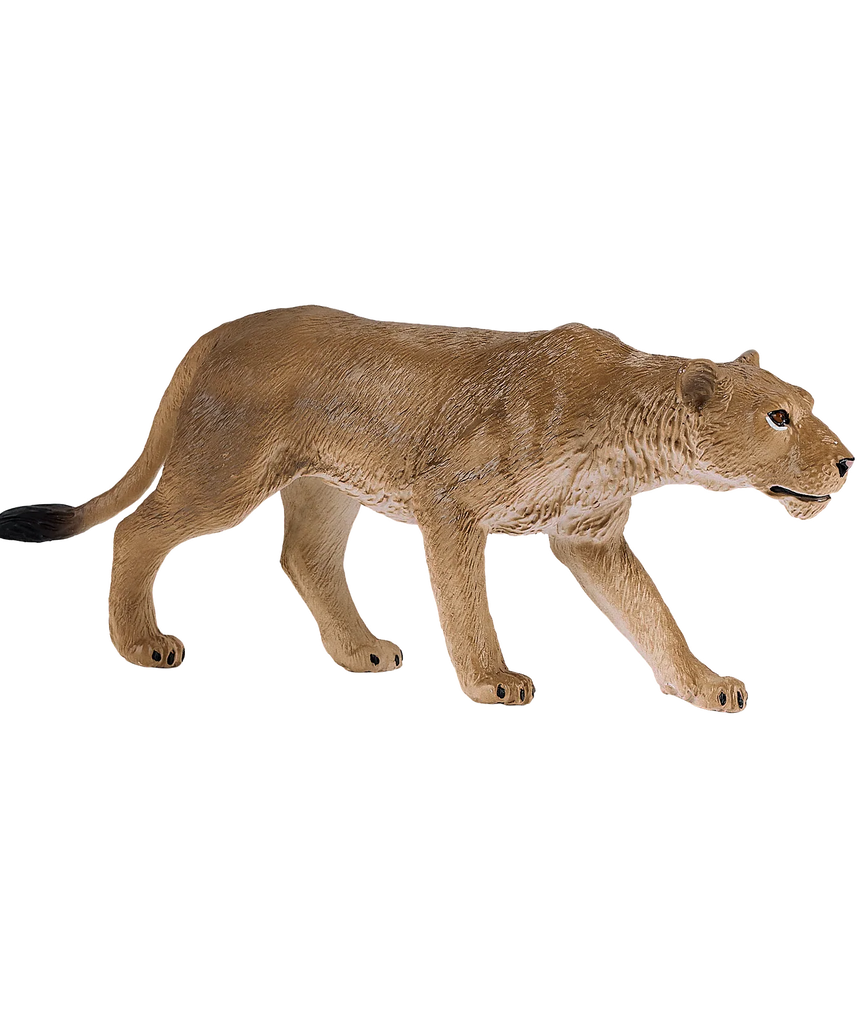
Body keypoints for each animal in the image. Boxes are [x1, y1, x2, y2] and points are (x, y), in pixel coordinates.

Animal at [1, 303, 853, 712]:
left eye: (809, 406)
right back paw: (141, 642)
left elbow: (653, 616)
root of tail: (214, 334)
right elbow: (466, 603)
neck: (631, 435)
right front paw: (490, 681)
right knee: (140, 527)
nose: (848, 460)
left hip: (326, 487)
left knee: (303, 557)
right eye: (778, 418)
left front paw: (701, 686)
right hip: (227, 472)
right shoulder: (451, 500)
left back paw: (361, 652)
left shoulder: (590, 537)